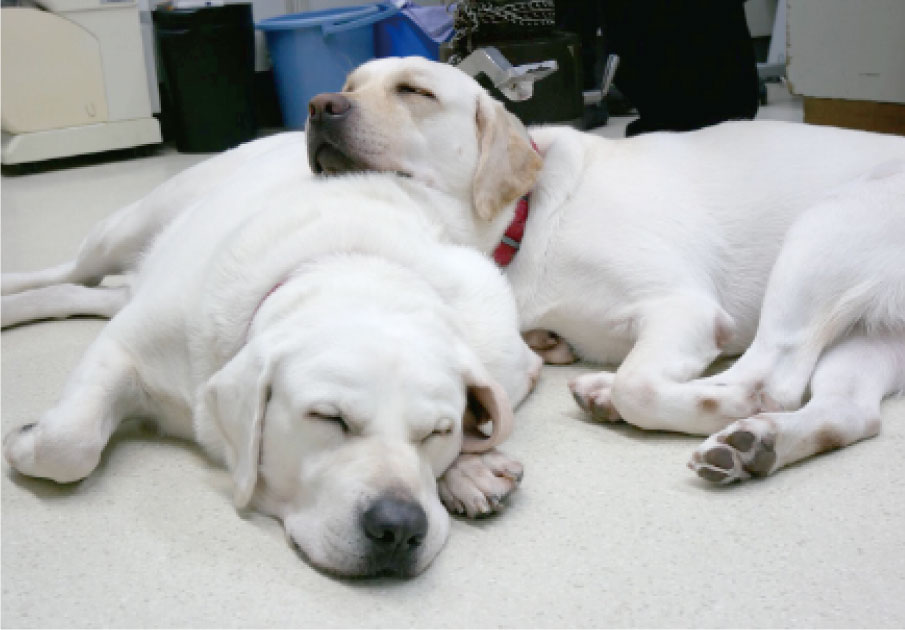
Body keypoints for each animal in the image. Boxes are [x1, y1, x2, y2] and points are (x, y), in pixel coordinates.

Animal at [1, 131, 543, 577]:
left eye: (437, 432)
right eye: (327, 417)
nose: (400, 527)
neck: (353, 263)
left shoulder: (510, 363)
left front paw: (468, 467)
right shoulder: (126, 345)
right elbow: (68, 443)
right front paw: (26, 442)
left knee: (83, 293)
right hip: (128, 229)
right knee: (72, 272)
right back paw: (12, 290)